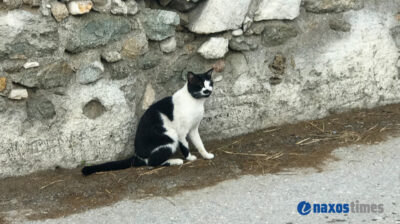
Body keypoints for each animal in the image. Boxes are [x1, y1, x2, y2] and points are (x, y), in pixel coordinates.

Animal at [82, 69, 216, 176]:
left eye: (210, 84)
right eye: (199, 85)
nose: (207, 91)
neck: (196, 102)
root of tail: (137, 156)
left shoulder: (193, 129)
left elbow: (200, 144)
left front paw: (206, 155)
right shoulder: (181, 132)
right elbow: (185, 146)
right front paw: (190, 158)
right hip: (171, 135)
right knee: (152, 163)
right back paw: (175, 161)